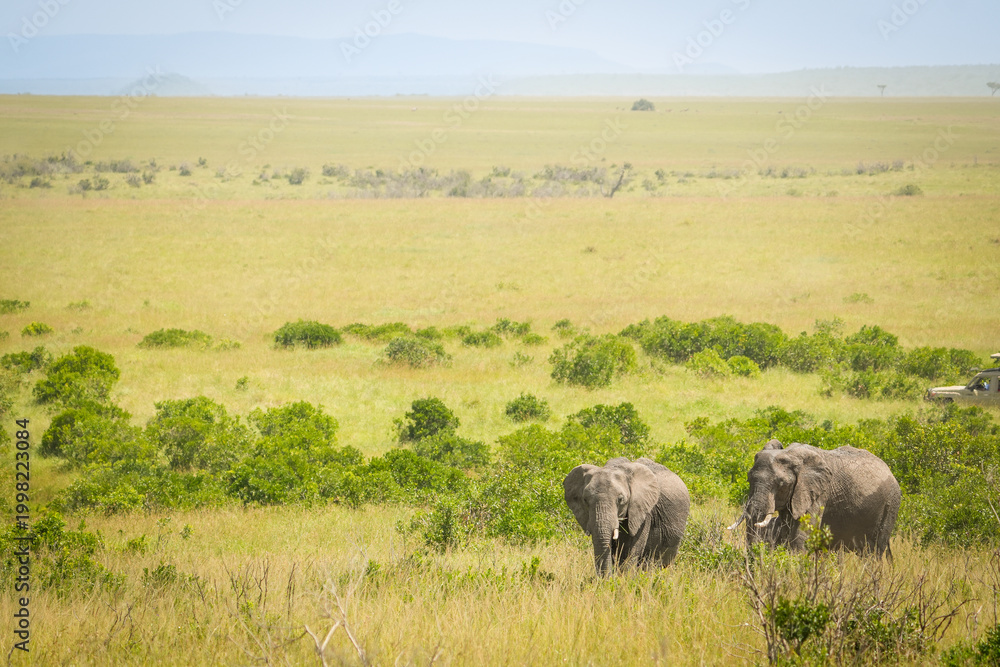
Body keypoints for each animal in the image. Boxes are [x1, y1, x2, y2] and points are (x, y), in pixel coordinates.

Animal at [729, 439, 900, 557]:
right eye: (749, 479)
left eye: (781, 484)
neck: (790, 454)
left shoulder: (818, 493)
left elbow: (802, 534)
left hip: (891, 505)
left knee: (874, 552)